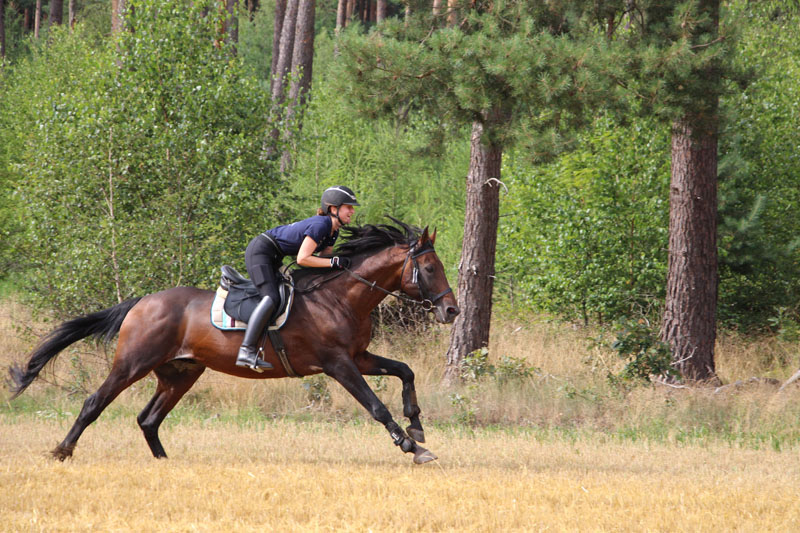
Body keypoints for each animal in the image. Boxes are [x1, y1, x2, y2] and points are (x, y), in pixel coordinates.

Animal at [8, 220, 460, 464]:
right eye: (429, 268)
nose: (452, 311)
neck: (341, 297)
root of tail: (142, 302)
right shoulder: (338, 364)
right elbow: (376, 406)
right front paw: (411, 446)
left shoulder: (359, 356)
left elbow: (404, 371)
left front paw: (417, 426)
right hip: (132, 363)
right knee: (95, 403)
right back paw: (61, 451)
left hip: (180, 372)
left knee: (148, 419)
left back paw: (165, 463)